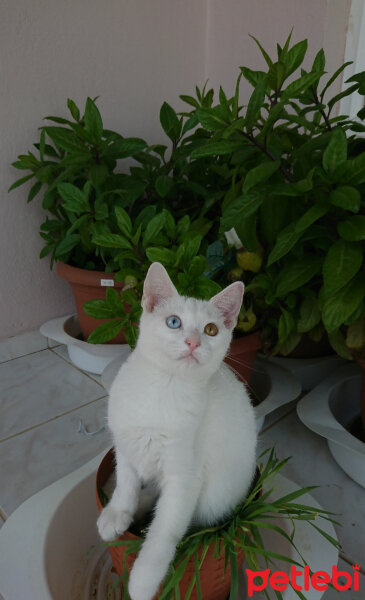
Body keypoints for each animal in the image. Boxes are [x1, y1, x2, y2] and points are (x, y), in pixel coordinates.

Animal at [96, 264, 256, 600]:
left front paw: (142, 580)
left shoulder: (185, 479)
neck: (164, 388)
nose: (193, 342)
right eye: (174, 322)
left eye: (211, 330)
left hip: (214, 499)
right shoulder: (126, 446)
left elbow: (164, 531)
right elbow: (126, 484)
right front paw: (118, 511)